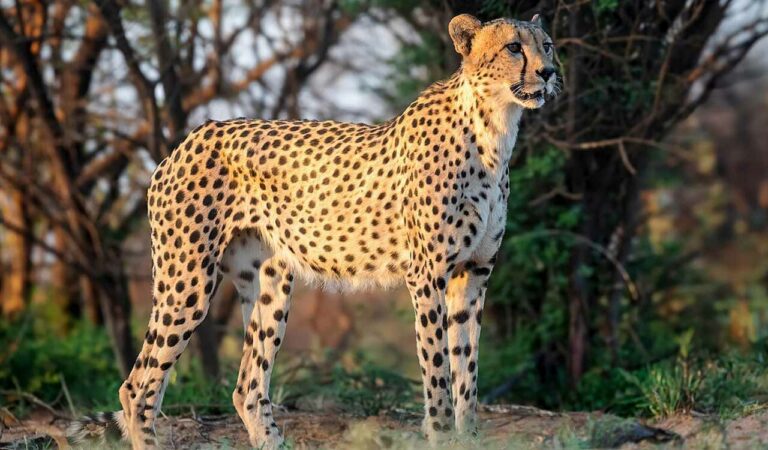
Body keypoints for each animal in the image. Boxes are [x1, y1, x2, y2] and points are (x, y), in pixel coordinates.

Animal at [68, 13, 557, 449]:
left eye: (547, 45)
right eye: (514, 47)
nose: (550, 73)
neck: (494, 129)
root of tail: (189, 138)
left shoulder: (473, 274)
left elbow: (466, 374)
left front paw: (469, 437)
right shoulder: (428, 275)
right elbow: (438, 371)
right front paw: (440, 437)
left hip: (270, 285)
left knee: (247, 388)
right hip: (186, 281)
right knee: (138, 387)